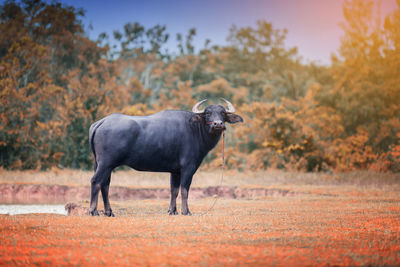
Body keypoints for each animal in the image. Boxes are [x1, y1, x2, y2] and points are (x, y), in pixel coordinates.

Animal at [88, 99, 242, 217]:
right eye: (208, 113)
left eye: (222, 113)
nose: (218, 124)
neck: (194, 129)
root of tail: (101, 122)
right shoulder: (188, 168)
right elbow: (184, 190)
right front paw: (186, 211)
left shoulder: (175, 171)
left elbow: (174, 190)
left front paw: (172, 211)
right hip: (106, 164)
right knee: (96, 181)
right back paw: (93, 211)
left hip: (103, 165)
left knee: (105, 185)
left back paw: (109, 212)